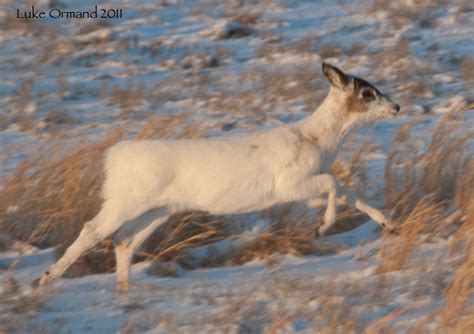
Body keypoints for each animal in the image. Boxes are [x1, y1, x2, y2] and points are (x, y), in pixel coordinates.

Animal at [34, 64, 400, 290]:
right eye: (367, 93)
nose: (396, 107)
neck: (317, 140)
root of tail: (114, 157)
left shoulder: (304, 186)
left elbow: (346, 190)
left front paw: (390, 225)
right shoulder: (289, 182)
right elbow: (336, 185)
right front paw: (322, 228)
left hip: (159, 209)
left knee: (125, 240)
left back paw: (124, 292)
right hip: (126, 199)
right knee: (93, 230)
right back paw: (45, 280)